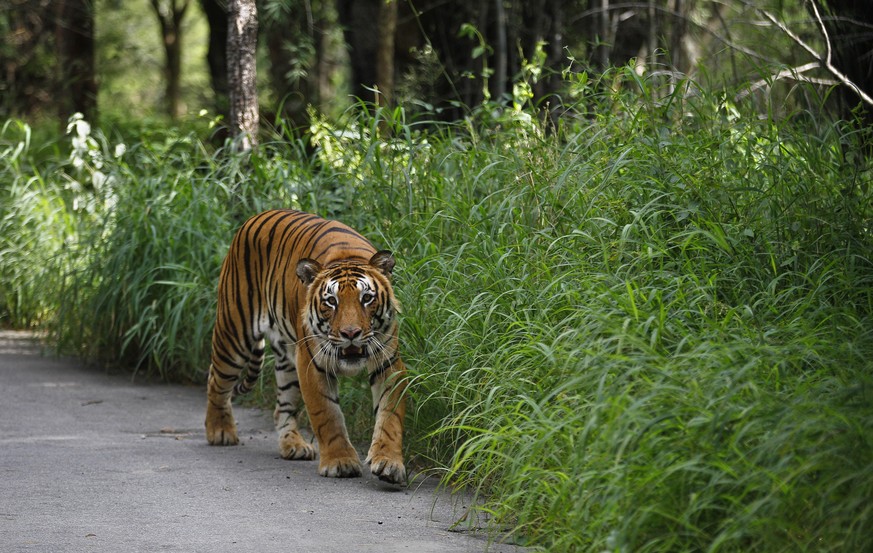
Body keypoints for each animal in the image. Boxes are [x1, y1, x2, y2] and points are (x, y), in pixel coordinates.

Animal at [205, 209, 408, 486]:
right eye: (331, 301)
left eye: (367, 298)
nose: (351, 333)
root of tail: (255, 217)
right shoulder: (312, 363)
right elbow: (327, 415)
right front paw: (340, 462)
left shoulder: (388, 362)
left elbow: (390, 418)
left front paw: (389, 463)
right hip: (234, 335)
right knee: (215, 380)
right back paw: (219, 431)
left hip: (288, 361)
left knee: (282, 408)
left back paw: (293, 445)